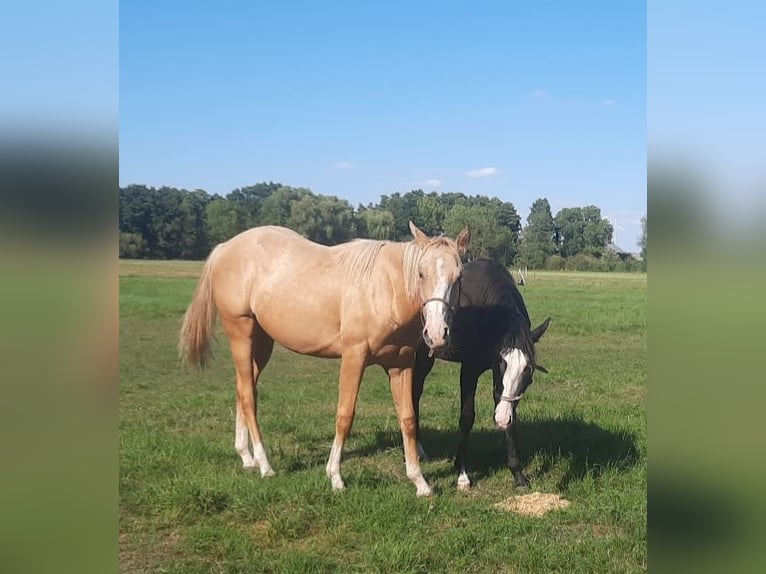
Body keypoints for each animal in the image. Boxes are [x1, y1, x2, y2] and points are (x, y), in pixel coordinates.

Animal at [180, 223, 472, 498]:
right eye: (421, 273)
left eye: (459, 277)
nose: (437, 334)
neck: (384, 288)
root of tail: (224, 248)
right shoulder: (354, 357)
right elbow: (345, 416)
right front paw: (335, 477)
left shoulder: (401, 364)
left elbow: (408, 418)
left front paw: (420, 481)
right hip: (240, 332)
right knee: (249, 397)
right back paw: (264, 464)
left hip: (260, 342)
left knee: (243, 388)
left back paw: (246, 456)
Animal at [414, 260, 552, 490]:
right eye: (503, 362)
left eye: (528, 370)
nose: (501, 419)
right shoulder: (470, 370)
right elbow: (467, 417)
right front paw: (462, 473)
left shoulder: (501, 383)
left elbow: (508, 412)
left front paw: (518, 474)